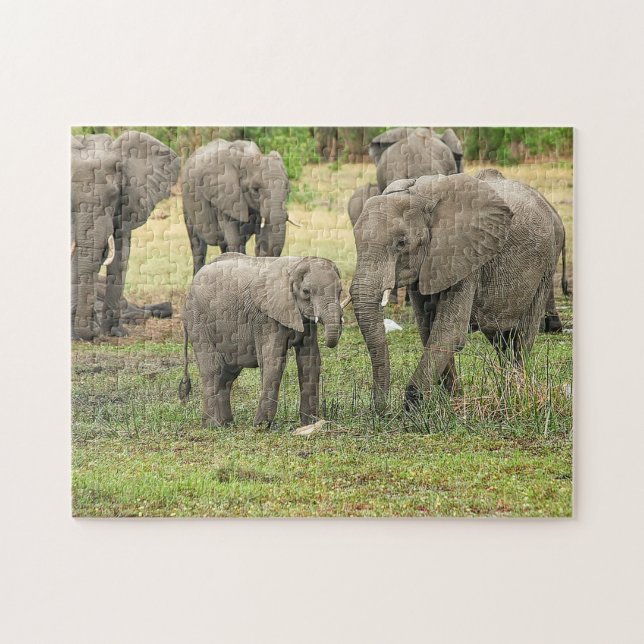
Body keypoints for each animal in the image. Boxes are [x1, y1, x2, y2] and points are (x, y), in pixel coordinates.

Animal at [179, 253, 343, 427]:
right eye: (306, 291)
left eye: (340, 291)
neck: (295, 265)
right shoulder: (265, 317)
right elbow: (273, 361)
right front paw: (261, 426)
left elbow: (310, 361)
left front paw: (310, 423)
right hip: (197, 320)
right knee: (213, 369)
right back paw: (212, 424)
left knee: (227, 374)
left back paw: (226, 423)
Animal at [182, 139, 291, 274]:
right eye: (255, 189)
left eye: (288, 189)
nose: (261, 247)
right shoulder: (224, 198)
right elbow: (235, 241)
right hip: (187, 206)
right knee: (198, 246)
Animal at [349, 173, 559, 412]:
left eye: (401, 242)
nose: (382, 412)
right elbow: (428, 330)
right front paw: (454, 400)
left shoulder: (466, 256)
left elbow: (449, 332)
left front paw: (413, 408)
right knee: (500, 338)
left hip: (547, 264)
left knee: (521, 337)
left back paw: (515, 393)